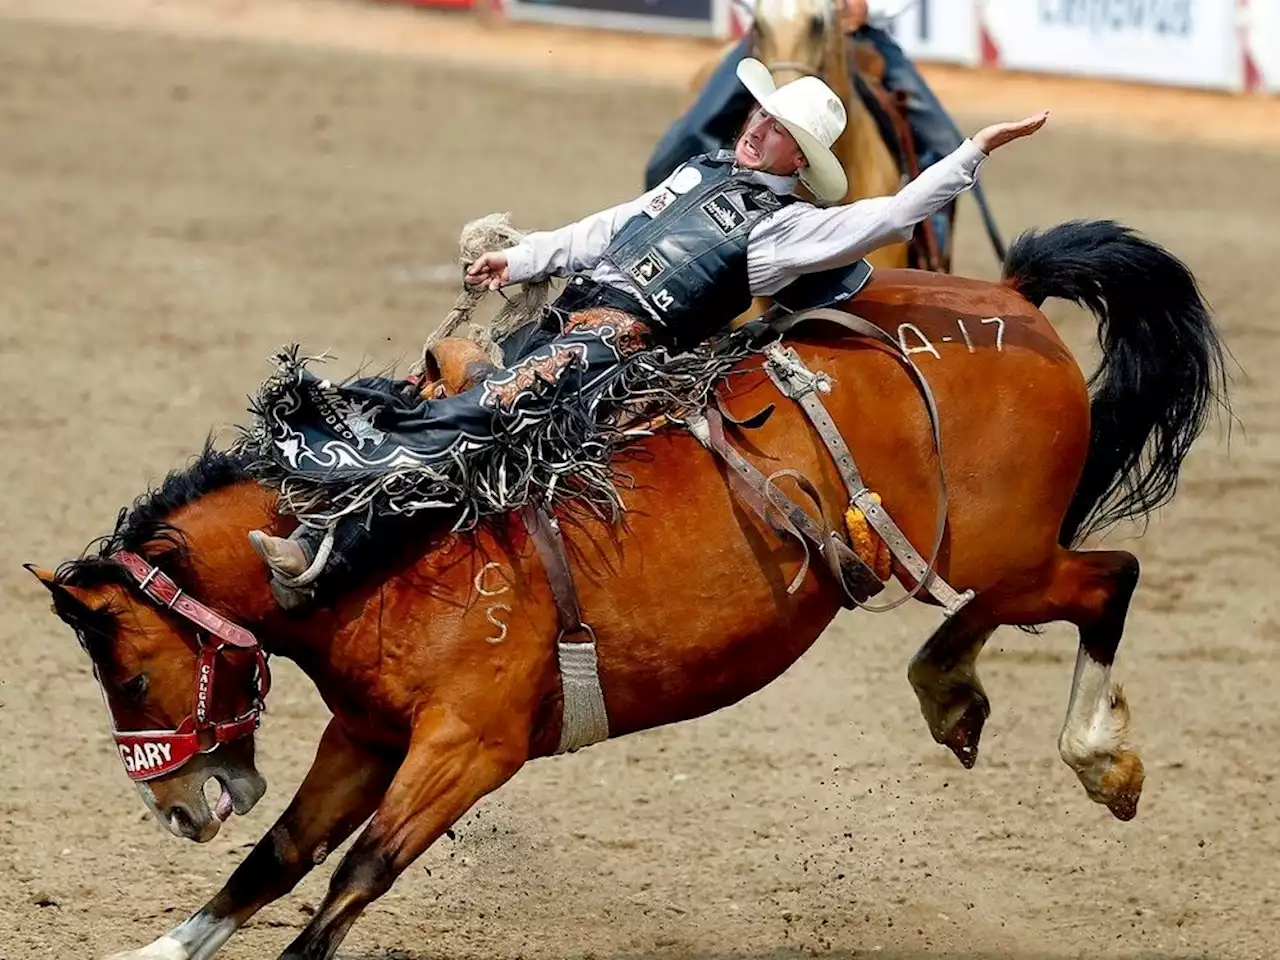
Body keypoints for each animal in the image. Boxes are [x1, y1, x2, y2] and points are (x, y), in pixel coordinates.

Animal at [32, 220, 1228, 960]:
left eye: (127, 671)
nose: (174, 807)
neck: (379, 535)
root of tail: (1006, 296)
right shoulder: (363, 734)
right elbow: (277, 860)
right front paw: (158, 943)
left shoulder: (468, 748)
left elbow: (352, 879)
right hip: (982, 555)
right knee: (1013, 608)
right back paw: (953, 693)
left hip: (1009, 553)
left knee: (1107, 581)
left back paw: (1091, 753)